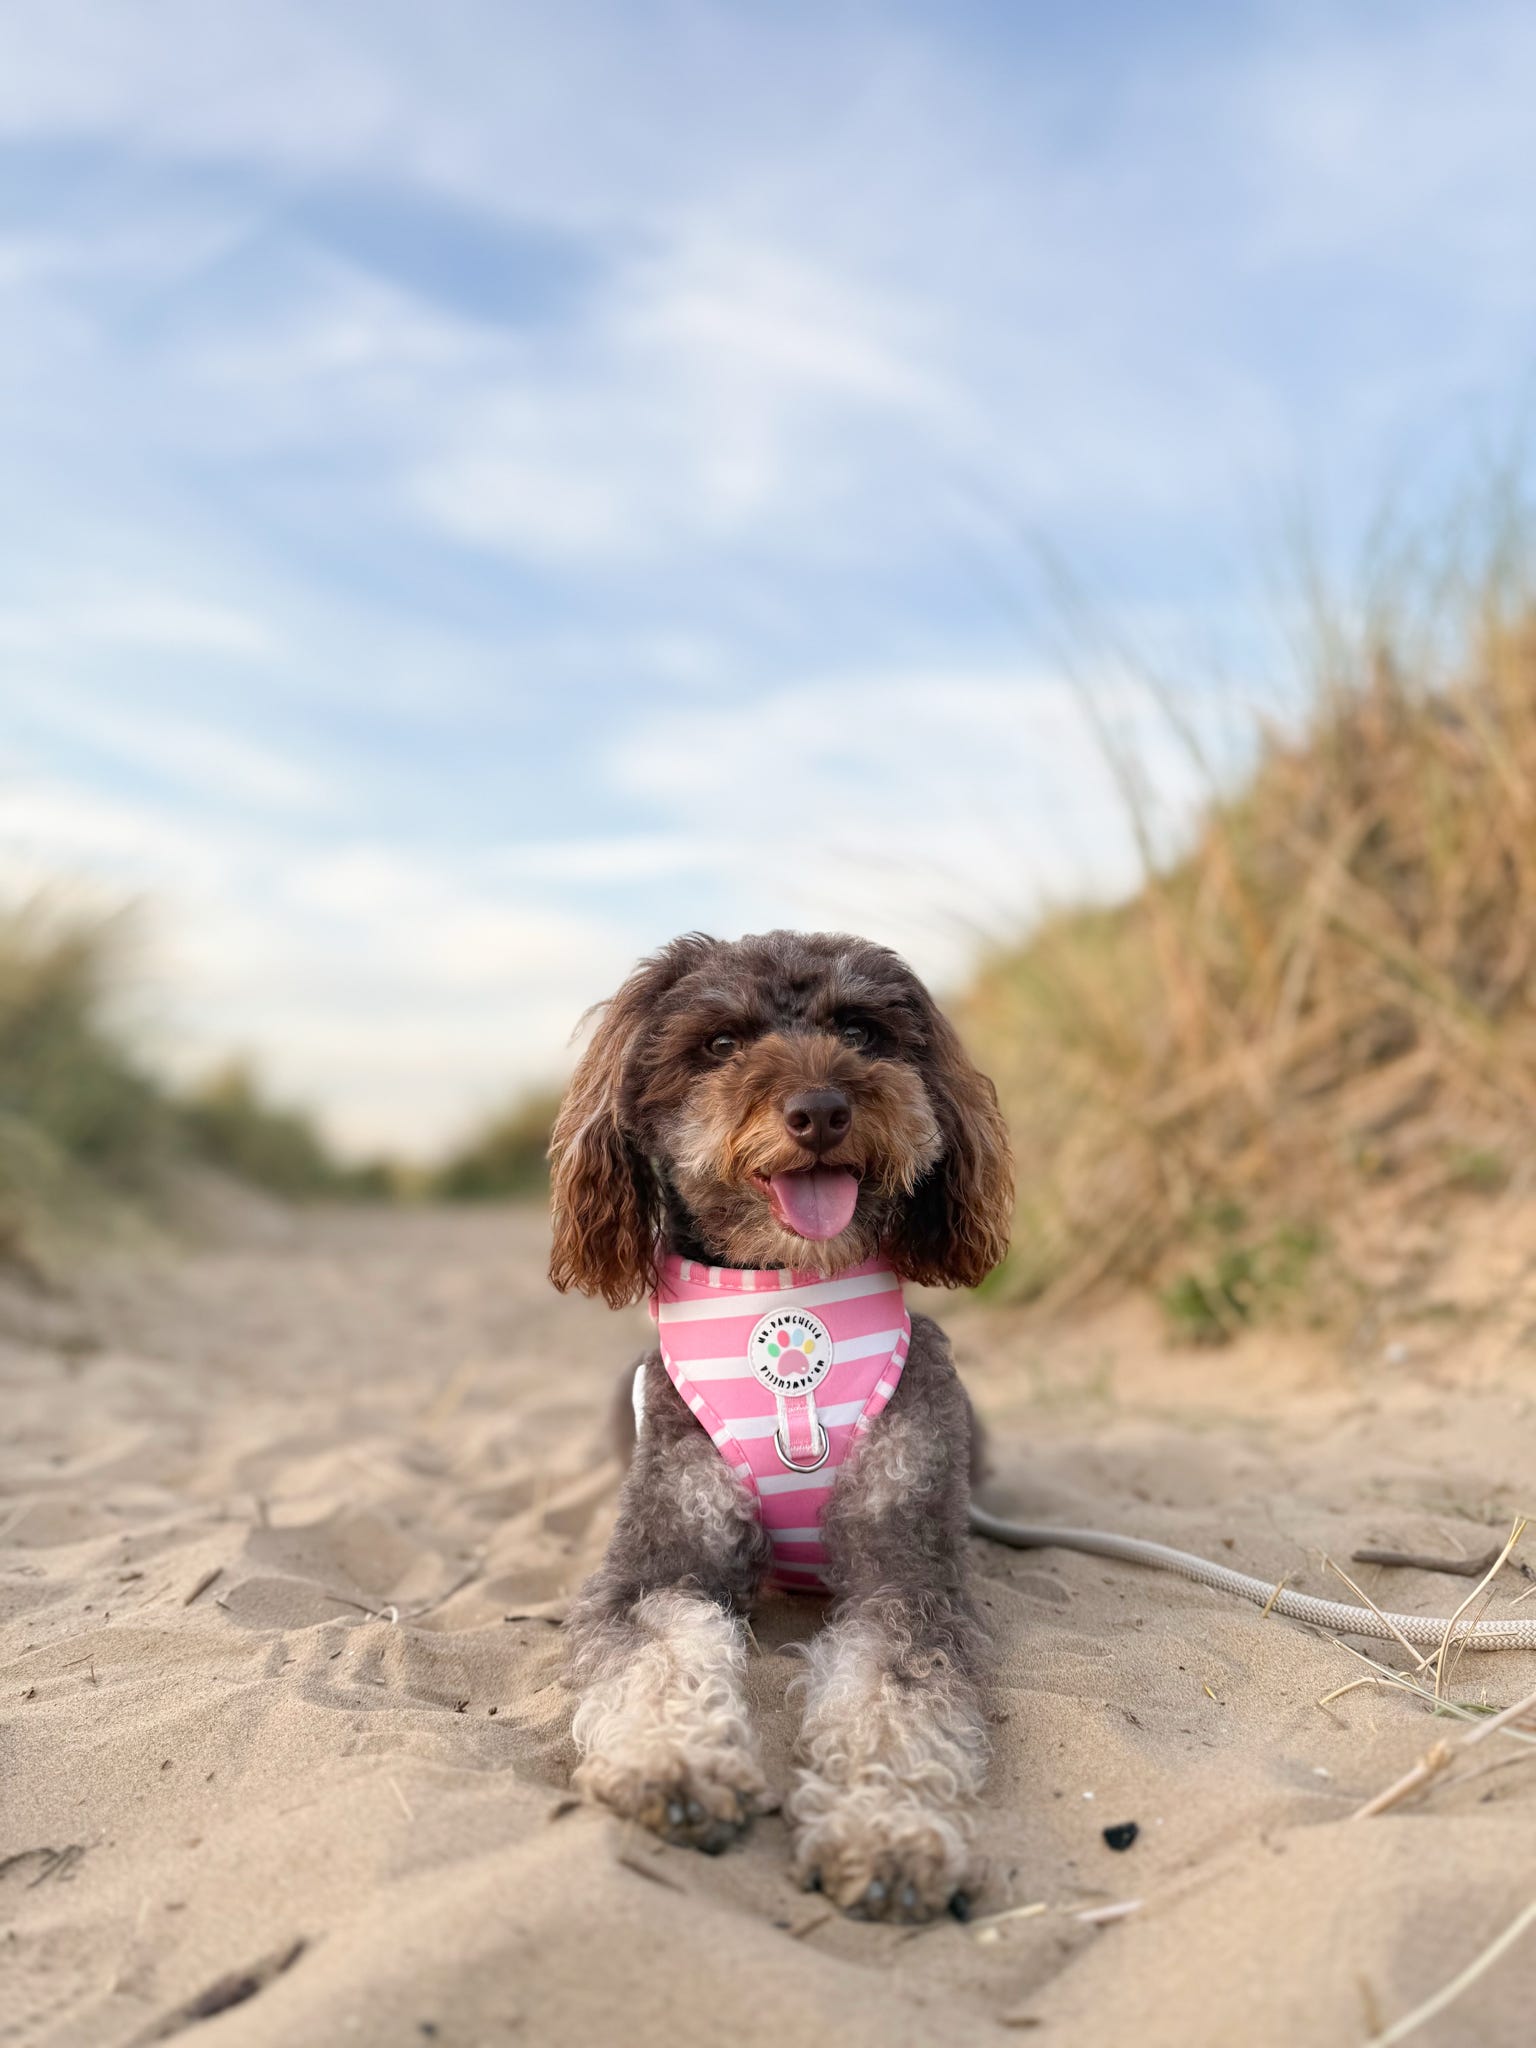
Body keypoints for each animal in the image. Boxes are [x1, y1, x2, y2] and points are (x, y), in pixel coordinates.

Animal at [549, 928, 1013, 1921]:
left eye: (861, 1030)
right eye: (720, 1044)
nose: (821, 1110)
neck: (789, 1291)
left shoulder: (906, 1566)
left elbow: (893, 1692)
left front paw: (888, 1832)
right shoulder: (659, 1558)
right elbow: (660, 1649)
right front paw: (672, 1766)